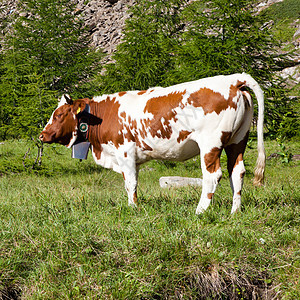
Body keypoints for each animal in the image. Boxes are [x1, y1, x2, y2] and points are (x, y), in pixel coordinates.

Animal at [39, 72, 264, 213]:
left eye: (59, 115)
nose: (42, 135)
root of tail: (233, 80)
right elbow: (131, 183)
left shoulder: (124, 152)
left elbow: (130, 183)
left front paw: (133, 209)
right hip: (238, 140)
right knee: (237, 172)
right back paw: (235, 211)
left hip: (211, 143)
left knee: (212, 175)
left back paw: (200, 211)